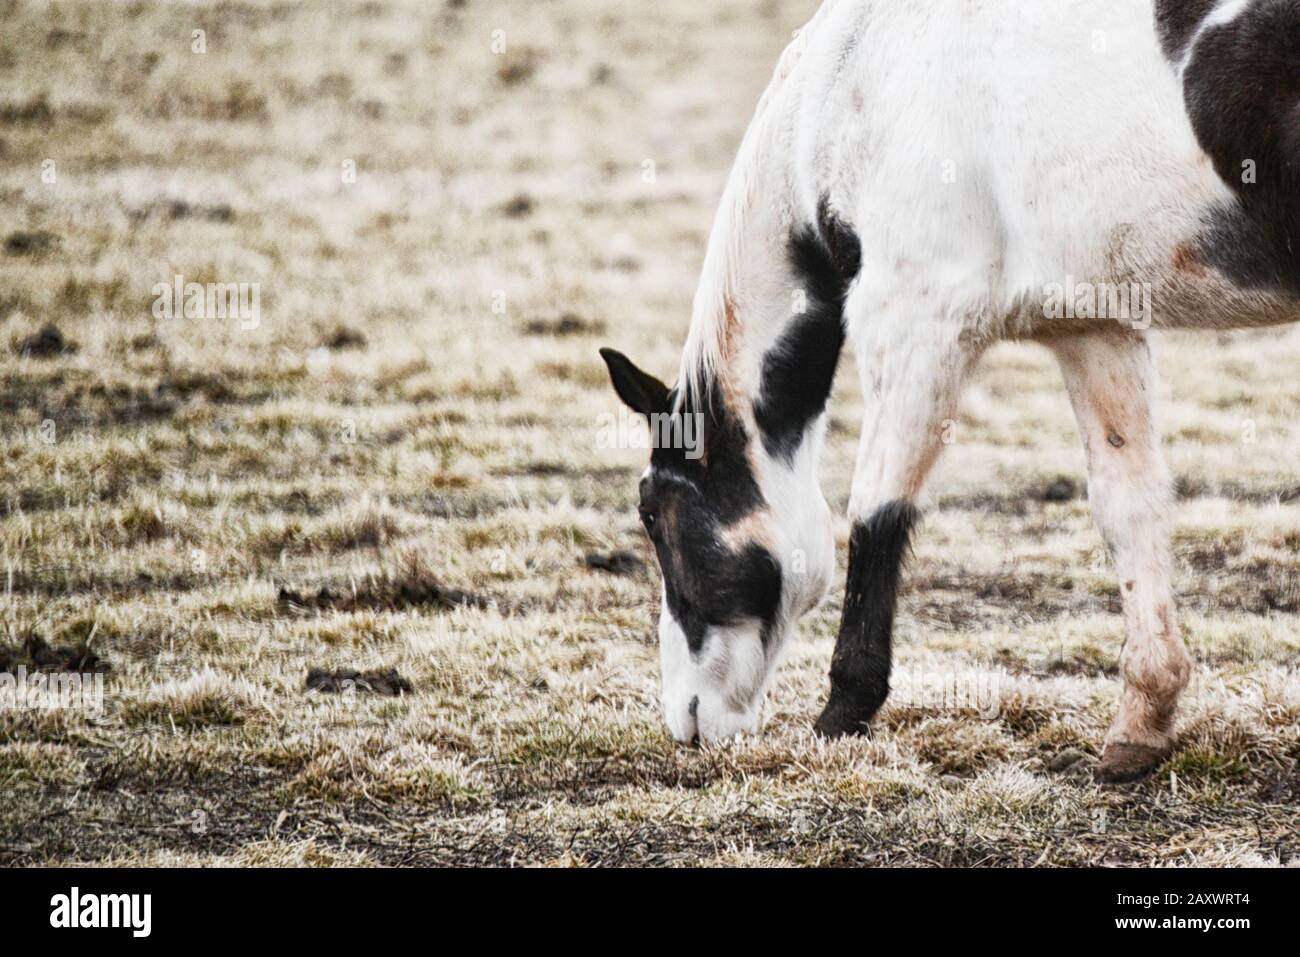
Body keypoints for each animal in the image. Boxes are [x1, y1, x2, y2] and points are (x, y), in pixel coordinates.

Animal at [600, 0, 1300, 785]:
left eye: (654, 516)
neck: (850, 84)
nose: (685, 718)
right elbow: (1128, 508)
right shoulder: (1093, 329)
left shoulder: (917, 326)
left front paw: (842, 712)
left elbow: (878, 511)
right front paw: (1141, 724)